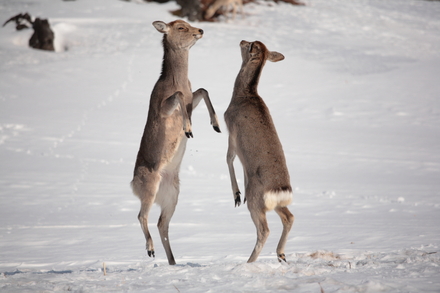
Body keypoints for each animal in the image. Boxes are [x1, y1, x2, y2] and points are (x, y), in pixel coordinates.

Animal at [130, 19, 220, 264]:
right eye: (180, 27)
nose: (200, 30)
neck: (177, 80)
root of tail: (132, 184)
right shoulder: (162, 106)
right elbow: (179, 95)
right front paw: (188, 130)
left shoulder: (191, 98)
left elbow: (203, 89)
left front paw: (216, 125)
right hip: (149, 185)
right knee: (141, 215)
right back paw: (150, 250)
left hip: (173, 195)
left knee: (162, 223)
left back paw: (172, 262)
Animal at [225, 39, 294, 262]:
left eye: (250, 45)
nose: (241, 40)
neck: (244, 95)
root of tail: (280, 190)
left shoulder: (232, 130)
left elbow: (229, 159)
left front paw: (237, 194)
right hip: (275, 204)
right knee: (289, 217)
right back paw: (281, 254)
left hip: (257, 201)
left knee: (264, 229)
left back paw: (249, 262)